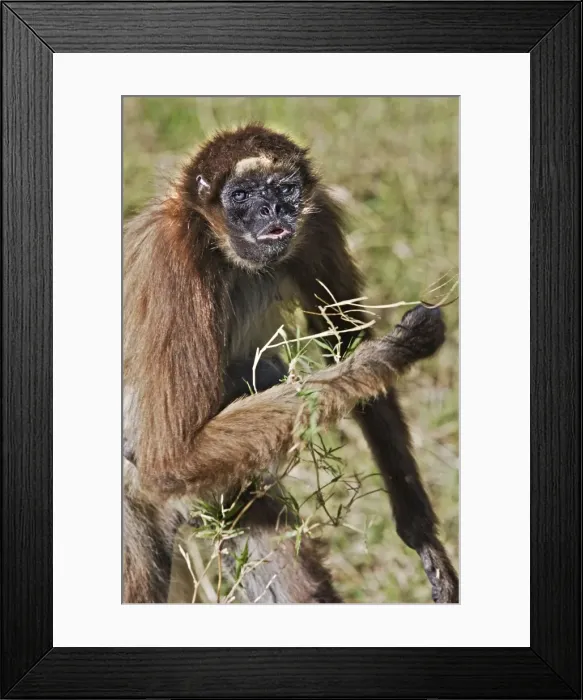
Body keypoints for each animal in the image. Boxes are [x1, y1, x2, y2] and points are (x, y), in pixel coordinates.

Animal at [123, 123, 459, 604]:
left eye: (285, 189)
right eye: (242, 195)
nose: (273, 209)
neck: (219, 248)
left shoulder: (316, 223)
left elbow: (343, 337)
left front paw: (422, 535)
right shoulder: (173, 264)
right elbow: (170, 458)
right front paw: (392, 351)